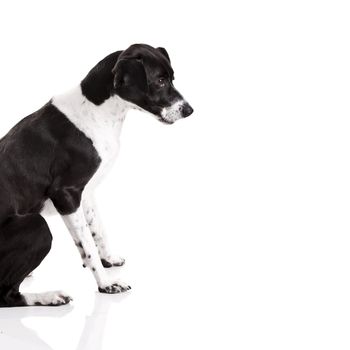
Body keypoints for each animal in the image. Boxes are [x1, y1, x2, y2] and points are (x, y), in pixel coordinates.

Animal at [0, 43, 193, 306]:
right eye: (160, 80)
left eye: (172, 78)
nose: (189, 110)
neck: (95, 111)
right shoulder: (66, 194)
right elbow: (88, 245)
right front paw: (106, 284)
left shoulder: (87, 191)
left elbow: (96, 231)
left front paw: (108, 259)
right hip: (36, 225)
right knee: (7, 295)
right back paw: (49, 296)